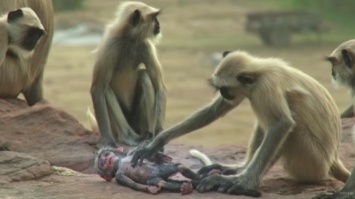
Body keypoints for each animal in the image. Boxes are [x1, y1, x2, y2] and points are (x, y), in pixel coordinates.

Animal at [89, 0, 167, 147]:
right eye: (154, 18)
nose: (159, 24)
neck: (130, 39)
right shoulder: (109, 46)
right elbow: (98, 88)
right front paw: (107, 142)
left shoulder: (146, 46)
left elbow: (159, 86)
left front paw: (159, 131)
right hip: (117, 126)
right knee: (106, 89)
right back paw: (128, 136)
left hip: (138, 122)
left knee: (144, 75)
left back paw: (147, 134)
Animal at [132, 50, 352, 197]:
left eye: (224, 89)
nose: (222, 93)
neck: (260, 72)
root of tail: (332, 160)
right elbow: (217, 109)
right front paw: (156, 142)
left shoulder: (264, 87)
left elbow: (281, 123)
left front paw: (246, 182)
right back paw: (238, 168)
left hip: (313, 162)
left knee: (291, 125)